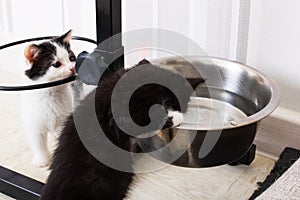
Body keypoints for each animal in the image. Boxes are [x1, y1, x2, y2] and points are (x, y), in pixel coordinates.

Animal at [20, 30, 76, 167]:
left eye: (71, 58)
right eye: (56, 64)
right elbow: (38, 143)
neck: (51, 93)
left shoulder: (64, 118)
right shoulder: (34, 123)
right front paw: (42, 160)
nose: (72, 68)